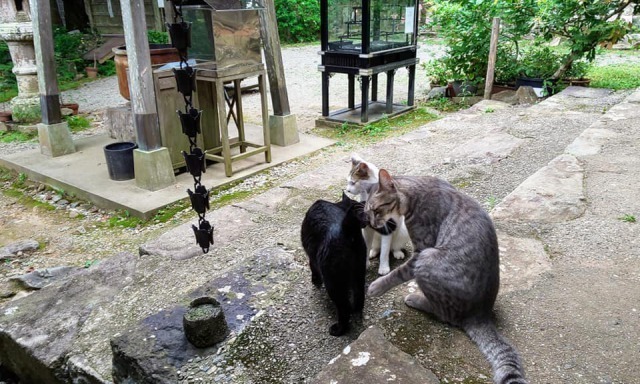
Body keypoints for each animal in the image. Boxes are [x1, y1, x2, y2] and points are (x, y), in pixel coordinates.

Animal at [302, 194, 368, 334]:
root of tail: (347, 231)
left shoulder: (311, 256)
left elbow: (312, 267)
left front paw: (315, 280)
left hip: (333, 283)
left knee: (344, 308)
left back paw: (338, 329)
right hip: (359, 272)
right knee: (359, 297)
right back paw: (356, 311)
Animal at [364, 170, 524, 384]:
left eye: (376, 210)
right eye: (368, 213)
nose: (373, 225)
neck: (415, 194)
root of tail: (480, 314)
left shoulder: (421, 250)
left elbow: (397, 274)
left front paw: (377, 286)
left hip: (428, 259)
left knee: (445, 314)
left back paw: (416, 299)